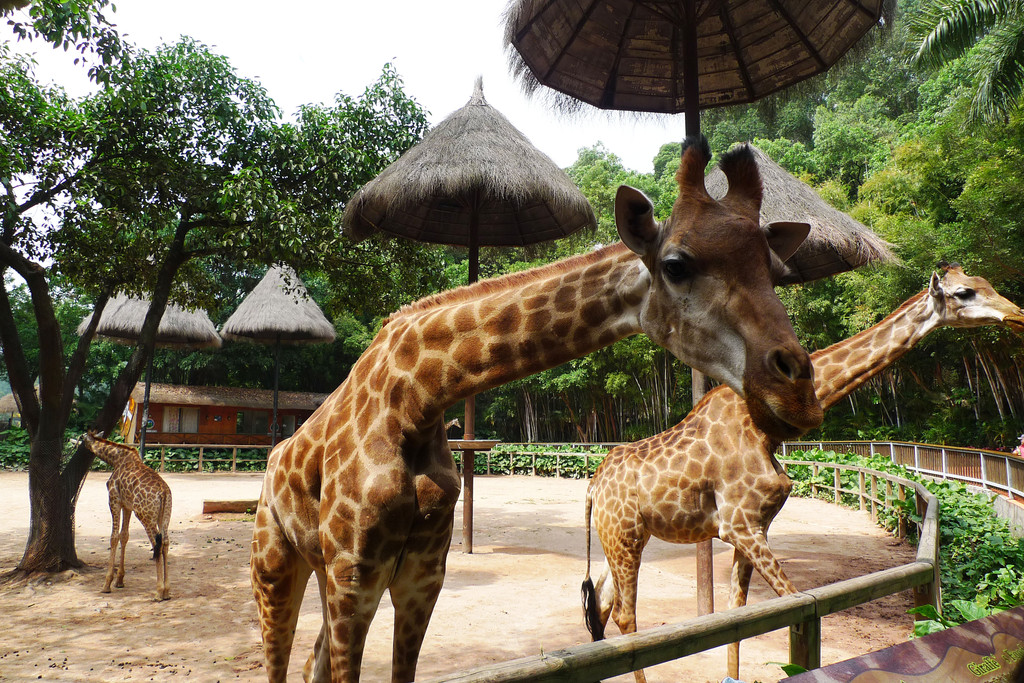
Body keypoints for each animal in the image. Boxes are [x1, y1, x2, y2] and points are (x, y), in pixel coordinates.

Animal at [81, 432, 172, 598]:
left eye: (82, 439)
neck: (117, 459)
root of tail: (163, 492)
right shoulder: (127, 506)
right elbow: (124, 536)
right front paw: (119, 581)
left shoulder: (114, 500)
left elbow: (114, 537)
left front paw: (106, 584)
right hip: (164, 516)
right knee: (166, 542)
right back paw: (167, 591)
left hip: (145, 515)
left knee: (156, 542)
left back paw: (158, 592)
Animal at [251, 137, 827, 683]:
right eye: (676, 265)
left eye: (773, 269)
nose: (799, 393)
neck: (416, 399)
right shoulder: (354, 572)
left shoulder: (422, 574)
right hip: (276, 559)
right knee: (281, 658)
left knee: (311, 661)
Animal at [585, 264, 1024, 679]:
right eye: (964, 292)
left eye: (985, 283)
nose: (1017, 314)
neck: (765, 430)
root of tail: (593, 487)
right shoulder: (740, 524)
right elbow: (792, 604)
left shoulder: (753, 525)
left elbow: (737, 617)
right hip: (624, 536)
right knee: (624, 615)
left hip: (621, 538)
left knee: (600, 608)